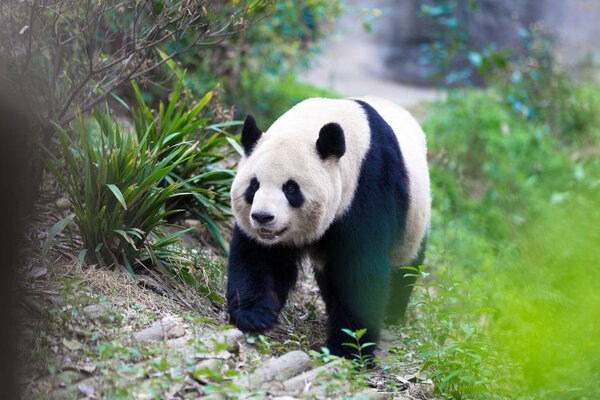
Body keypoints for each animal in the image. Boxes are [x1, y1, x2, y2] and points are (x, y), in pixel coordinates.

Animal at [226, 97, 432, 360]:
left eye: (291, 188)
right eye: (254, 186)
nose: (263, 217)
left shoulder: (367, 187)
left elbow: (362, 270)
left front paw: (349, 347)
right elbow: (259, 256)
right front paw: (254, 315)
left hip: (415, 219)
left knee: (404, 266)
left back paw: (391, 314)